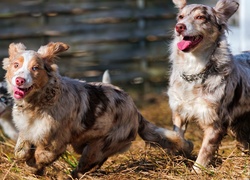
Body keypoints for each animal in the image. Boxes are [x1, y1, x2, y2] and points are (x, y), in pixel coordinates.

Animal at [2, 42, 186, 179]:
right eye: (16, 65)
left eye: (35, 68)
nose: (19, 80)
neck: (40, 102)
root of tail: (136, 112)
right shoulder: (28, 129)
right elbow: (20, 151)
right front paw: (29, 162)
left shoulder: (55, 140)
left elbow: (41, 156)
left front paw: (35, 169)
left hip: (98, 146)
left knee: (87, 162)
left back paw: (75, 173)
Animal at [167, 0, 250, 172]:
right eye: (180, 17)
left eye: (200, 17)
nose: (179, 27)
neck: (194, 69)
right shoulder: (179, 112)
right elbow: (178, 137)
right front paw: (184, 147)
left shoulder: (215, 122)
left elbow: (204, 152)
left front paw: (196, 171)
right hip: (238, 125)